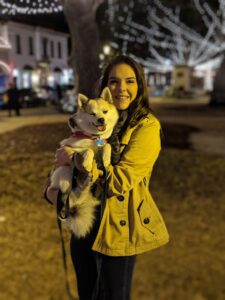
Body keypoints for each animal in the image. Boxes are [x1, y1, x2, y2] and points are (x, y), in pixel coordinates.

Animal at [50, 86, 118, 237]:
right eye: (92, 114)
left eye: (105, 111)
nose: (101, 119)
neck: (94, 137)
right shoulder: (71, 147)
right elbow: (87, 151)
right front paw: (87, 162)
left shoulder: (102, 145)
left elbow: (107, 146)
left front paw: (106, 158)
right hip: (64, 172)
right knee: (73, 193)